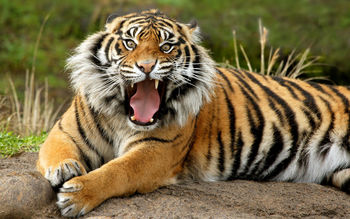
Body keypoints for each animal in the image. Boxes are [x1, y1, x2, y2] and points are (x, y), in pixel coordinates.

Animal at [36, 9, 350, 217]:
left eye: (166, 46)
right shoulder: (64, 131)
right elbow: (57, 151)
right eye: (130, 43)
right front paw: (64, 169)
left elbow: (117, 171)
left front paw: (77, 195)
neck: (122, 116)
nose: (146, 66)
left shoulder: (157, 150)